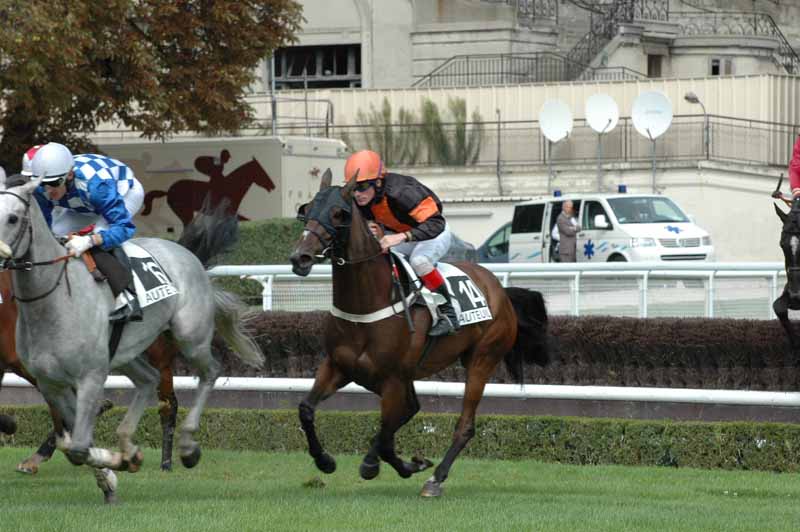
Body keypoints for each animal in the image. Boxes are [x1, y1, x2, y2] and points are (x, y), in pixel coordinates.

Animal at [0, 180, 266, 502]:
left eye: (13, 218)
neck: (54, 301)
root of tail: (185, 252)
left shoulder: (90, 376)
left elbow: (78, 447)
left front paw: (115, 466)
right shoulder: (49, 382)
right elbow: (73, 444)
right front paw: (114, 472)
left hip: (189, 336)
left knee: (209, 372)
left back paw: (187, 447)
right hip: (127, 353)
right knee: (148, 380)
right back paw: (128, 443)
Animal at [290, 171, 552, 498]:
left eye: (339, 213)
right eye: (307, 210)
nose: (299, 257)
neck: (368, 303)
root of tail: (500, 290)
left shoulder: (391, 379)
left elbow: (386, 434)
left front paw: (385, 465)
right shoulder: (339, 366)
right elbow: (307, 410)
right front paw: (325, 461)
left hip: (482, 359)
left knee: (464, 425)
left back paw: (435, 479)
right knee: (410, 410)